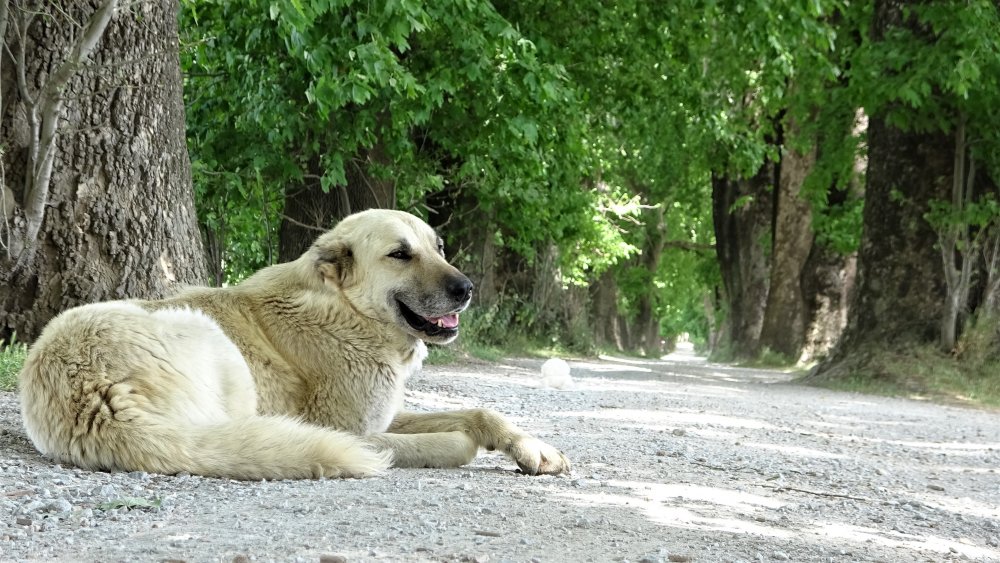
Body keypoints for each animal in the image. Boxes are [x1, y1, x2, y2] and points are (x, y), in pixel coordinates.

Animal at [17, 210, 572, 480]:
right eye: (400, 254)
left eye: (438, 248)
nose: (467, 288)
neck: (345, 309)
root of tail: (93, 397)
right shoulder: (357, 424)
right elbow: (448, 431)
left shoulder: (387, 413)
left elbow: (481, 411)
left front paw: (532, 447)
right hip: (208, 338)